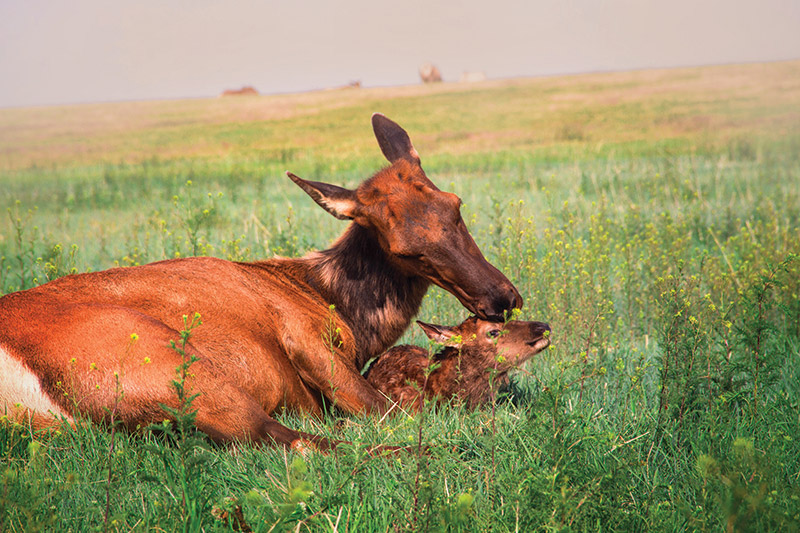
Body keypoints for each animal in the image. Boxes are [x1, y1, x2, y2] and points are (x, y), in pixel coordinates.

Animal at [0, 114, 522, 451]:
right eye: (404, 250)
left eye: (456, 205)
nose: (502, 298)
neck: (332, 300)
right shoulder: (303, 335)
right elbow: (389, 409)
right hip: (171, 366)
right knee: (299, 441)